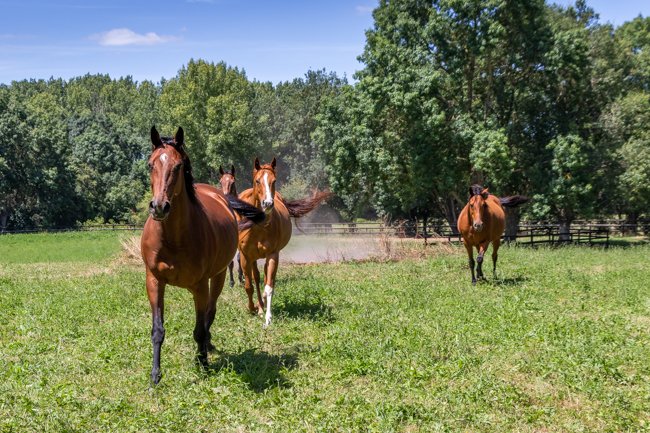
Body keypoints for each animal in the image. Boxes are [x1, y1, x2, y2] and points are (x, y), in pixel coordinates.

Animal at [140, 126, 264, 385]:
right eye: (150, 164)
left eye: (178, 166)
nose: (159, 207)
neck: (173, 238)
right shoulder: (154, 281)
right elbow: (157, 330)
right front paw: (155, 376)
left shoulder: (199, 285)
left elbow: (199, 327)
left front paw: (203, 363)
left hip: (216, 277)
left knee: (210, 312)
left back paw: (207, 346)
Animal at [238, 157, 331, 327]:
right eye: (257, 181)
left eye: (274, 181)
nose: (268, 203)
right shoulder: (245, 256)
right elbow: (248, 286)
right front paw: (252, 309)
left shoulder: (273, 255)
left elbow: (269, 287)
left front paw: (267, 317)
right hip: (252, 258)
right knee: (256, 278)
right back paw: (258, 307)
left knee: (264, 279)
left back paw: (262, 307)